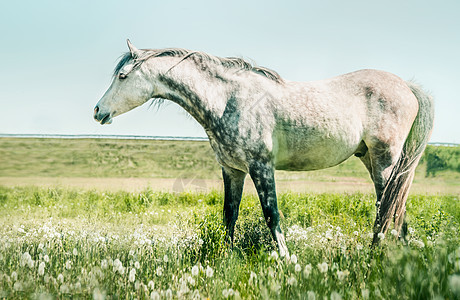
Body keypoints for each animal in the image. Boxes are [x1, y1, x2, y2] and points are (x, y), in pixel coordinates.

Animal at [94, 39, 434, 255]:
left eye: (122, 76)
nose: (98, 111)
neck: (228, 99)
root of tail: (406, 87)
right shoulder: (232, 170)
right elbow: (229, 214)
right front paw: (226, 256)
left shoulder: (261, 166)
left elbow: (272, 214)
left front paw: (284, 258)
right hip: (371, 159)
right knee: (393, 205)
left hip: (385, 160)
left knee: (390, 205)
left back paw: (379, 253)